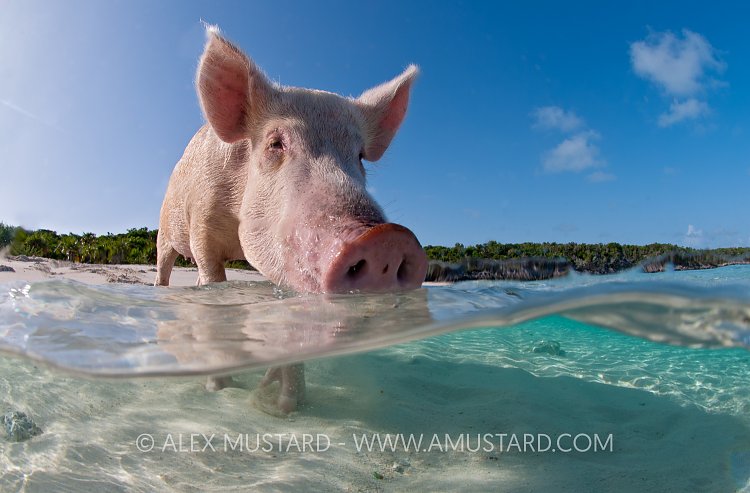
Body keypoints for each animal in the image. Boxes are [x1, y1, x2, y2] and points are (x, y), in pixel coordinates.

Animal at [155, 26, 428, 412]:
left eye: (360, 156)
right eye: (275, 144)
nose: (387, 239)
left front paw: (284, 407)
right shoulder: (201, 229)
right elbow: (213, 288)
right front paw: (222, 390)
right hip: (164, 233)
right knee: (165, 271)